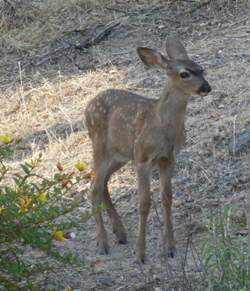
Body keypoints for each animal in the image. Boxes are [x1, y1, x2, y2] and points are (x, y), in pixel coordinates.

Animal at [85, 36, 211, 264]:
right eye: (184, 73)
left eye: (201, 68)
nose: (207, 87)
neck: (161, 126)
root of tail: (87, 107)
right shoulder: (143, 157)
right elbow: (144, 203)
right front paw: (140, 254)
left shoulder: (169, 158)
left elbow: (166, 198)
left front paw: (170, 248)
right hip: (100, 146)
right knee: (94, 187)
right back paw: (103, 243)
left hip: (121, 155)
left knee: (103, 182)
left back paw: (120, 233)